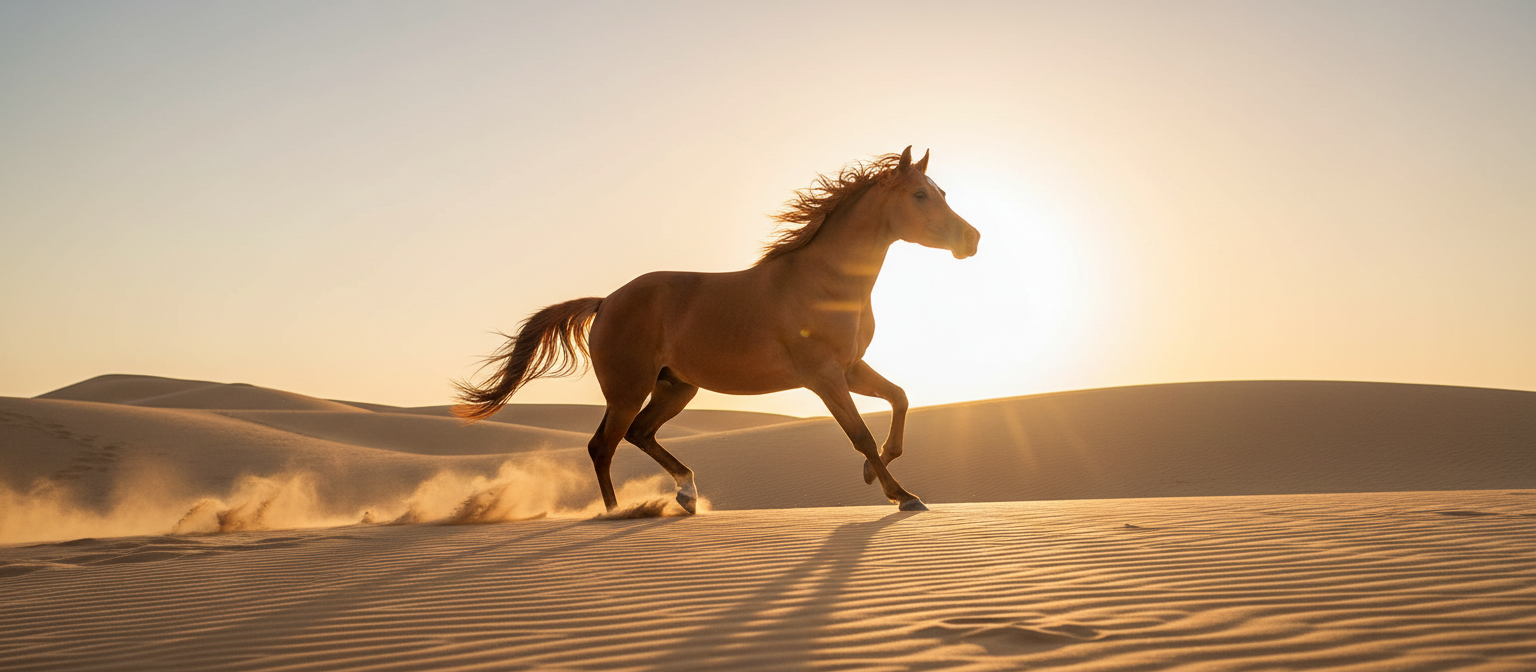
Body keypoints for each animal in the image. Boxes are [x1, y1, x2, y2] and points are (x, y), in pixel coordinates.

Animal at [453, 146, 980, 513]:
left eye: (943, 194)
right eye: (919, 195)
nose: (971, 238)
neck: (824, 281)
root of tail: (606, 302)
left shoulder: (850, 369)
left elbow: (900, 399)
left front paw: (877, 473)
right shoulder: (824, 378)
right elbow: (861, 435)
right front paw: (902, 495)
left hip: (676, 387)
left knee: (639, 435)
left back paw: (686, 493)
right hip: (628, 390)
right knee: (603, 446)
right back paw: (617, 511)